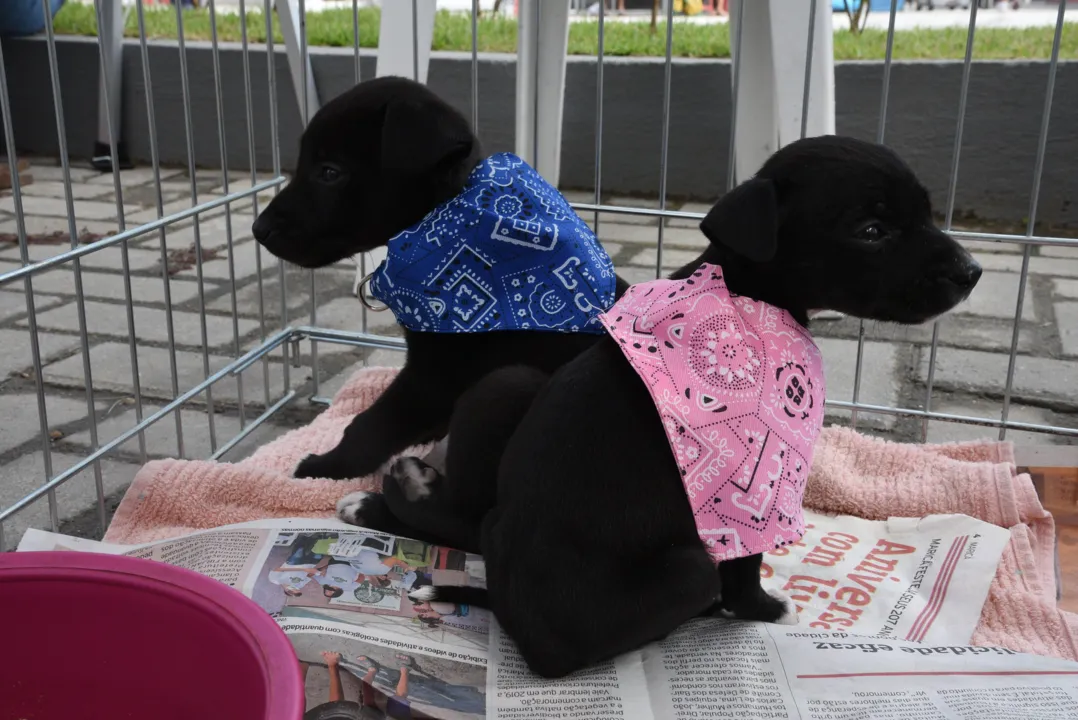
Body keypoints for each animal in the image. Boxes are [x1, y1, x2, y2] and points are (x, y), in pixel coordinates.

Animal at [251, 78, 629, 532]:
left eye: (330, 172)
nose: (257, 229)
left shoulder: (432, 378)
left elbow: (369, 425)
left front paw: (322, 467)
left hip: (506, 395)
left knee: (468, 522)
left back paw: (373, 505)